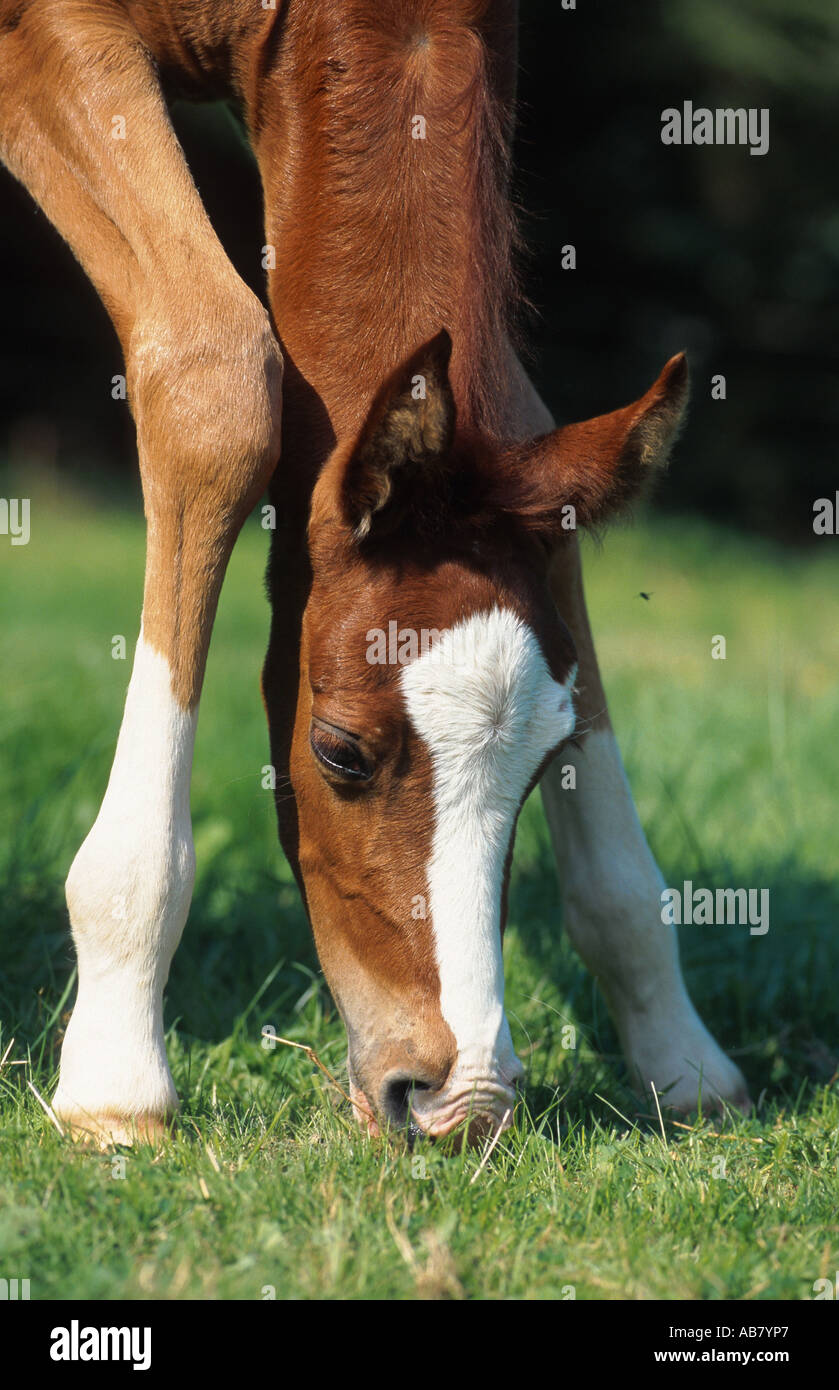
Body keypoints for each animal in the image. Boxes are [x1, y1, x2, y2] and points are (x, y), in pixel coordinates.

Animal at [0, 0, 744, 1145]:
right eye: (339, 752)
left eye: (550, 759)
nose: (456, 1099)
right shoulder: (47, 34)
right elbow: (220, 381)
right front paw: (115, 1072)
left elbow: (524, 415)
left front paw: (679, 1053)